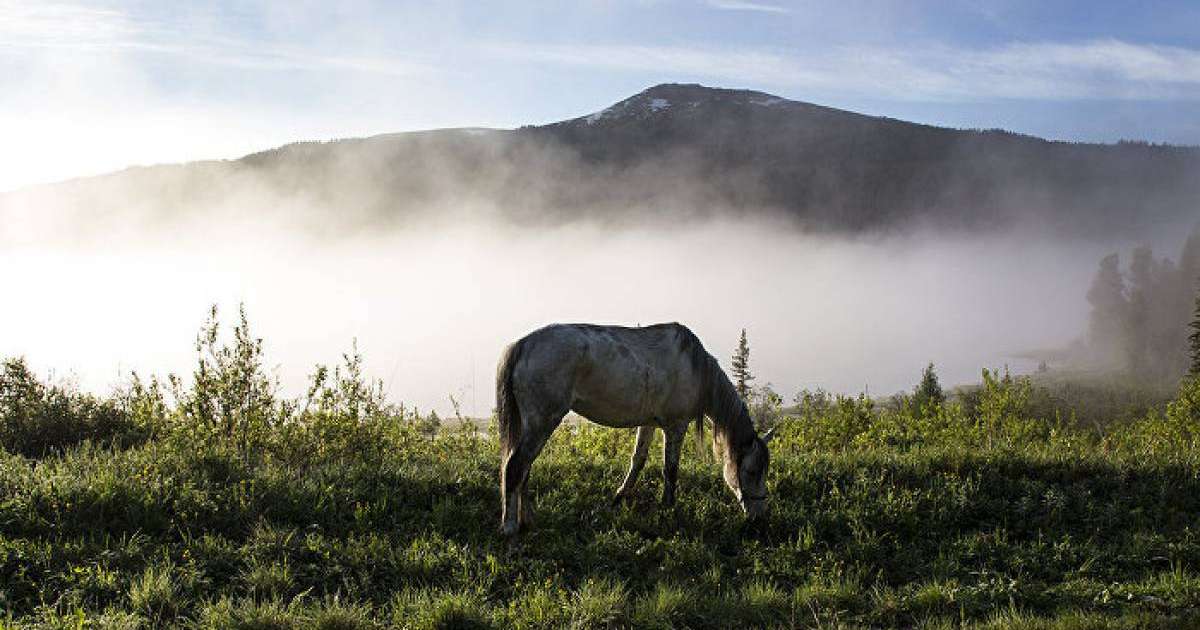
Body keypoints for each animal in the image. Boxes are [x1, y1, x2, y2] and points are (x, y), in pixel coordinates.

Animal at [495, 322, 775, 537]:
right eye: (751, 471)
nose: (760, 519)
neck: (695, 369)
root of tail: (523, 345)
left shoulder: (648, 423)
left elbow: (637, 460)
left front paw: (618, 497)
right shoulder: (675, 426)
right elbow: (670, 469)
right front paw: (668, 508)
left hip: (533, 424)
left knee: (525, 468)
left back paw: (528, 520)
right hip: (542, 422)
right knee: (516, 466)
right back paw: (510, 527)